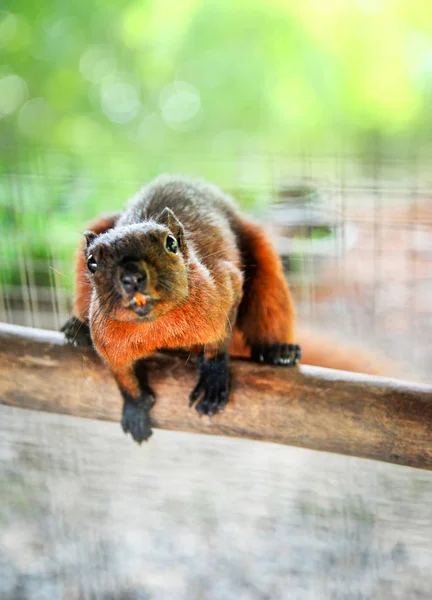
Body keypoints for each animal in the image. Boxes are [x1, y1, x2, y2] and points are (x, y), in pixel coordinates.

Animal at [61, 173, 308, 440]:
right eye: (92, 262)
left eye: (170, 243)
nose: (132, 277)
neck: (156, 325)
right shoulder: (106, 340)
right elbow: (121, 373)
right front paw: (135, 406)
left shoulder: (223, 288)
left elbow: (220, 338)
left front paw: (212, 377)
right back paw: (76, 329)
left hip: (258, 251)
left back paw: (279, 350)